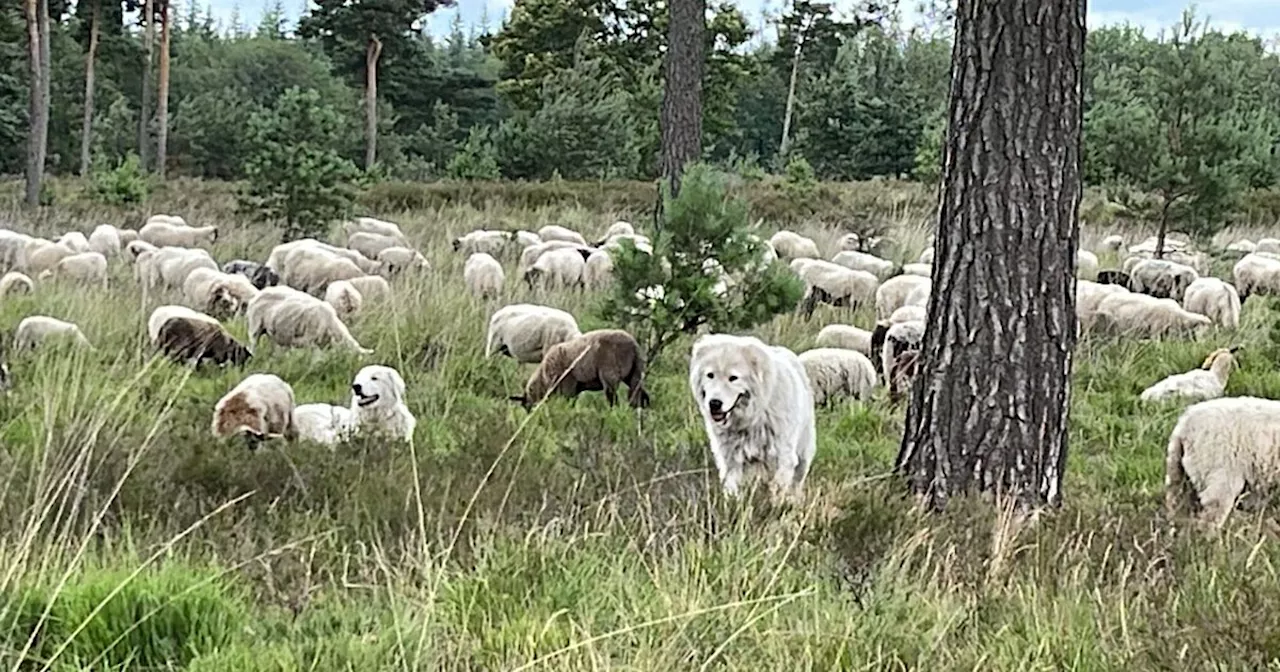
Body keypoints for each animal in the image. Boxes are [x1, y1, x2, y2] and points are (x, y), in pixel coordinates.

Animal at [509, 327, 650, 409]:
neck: (545, 377)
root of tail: (633, 344)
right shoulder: (575, 387)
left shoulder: (568, 385)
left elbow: (568, 403)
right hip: (635, 372)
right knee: (639, 395)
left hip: (610, 375)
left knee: (613, 399)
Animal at [691, 332, 819, 499]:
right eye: (710, 375)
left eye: (733, 378)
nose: (714, 403)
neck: (752, 418)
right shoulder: (732, 459)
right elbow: (731, 487)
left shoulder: (783, 456)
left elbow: (778, 488)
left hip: (803, 453)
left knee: (797, 481)